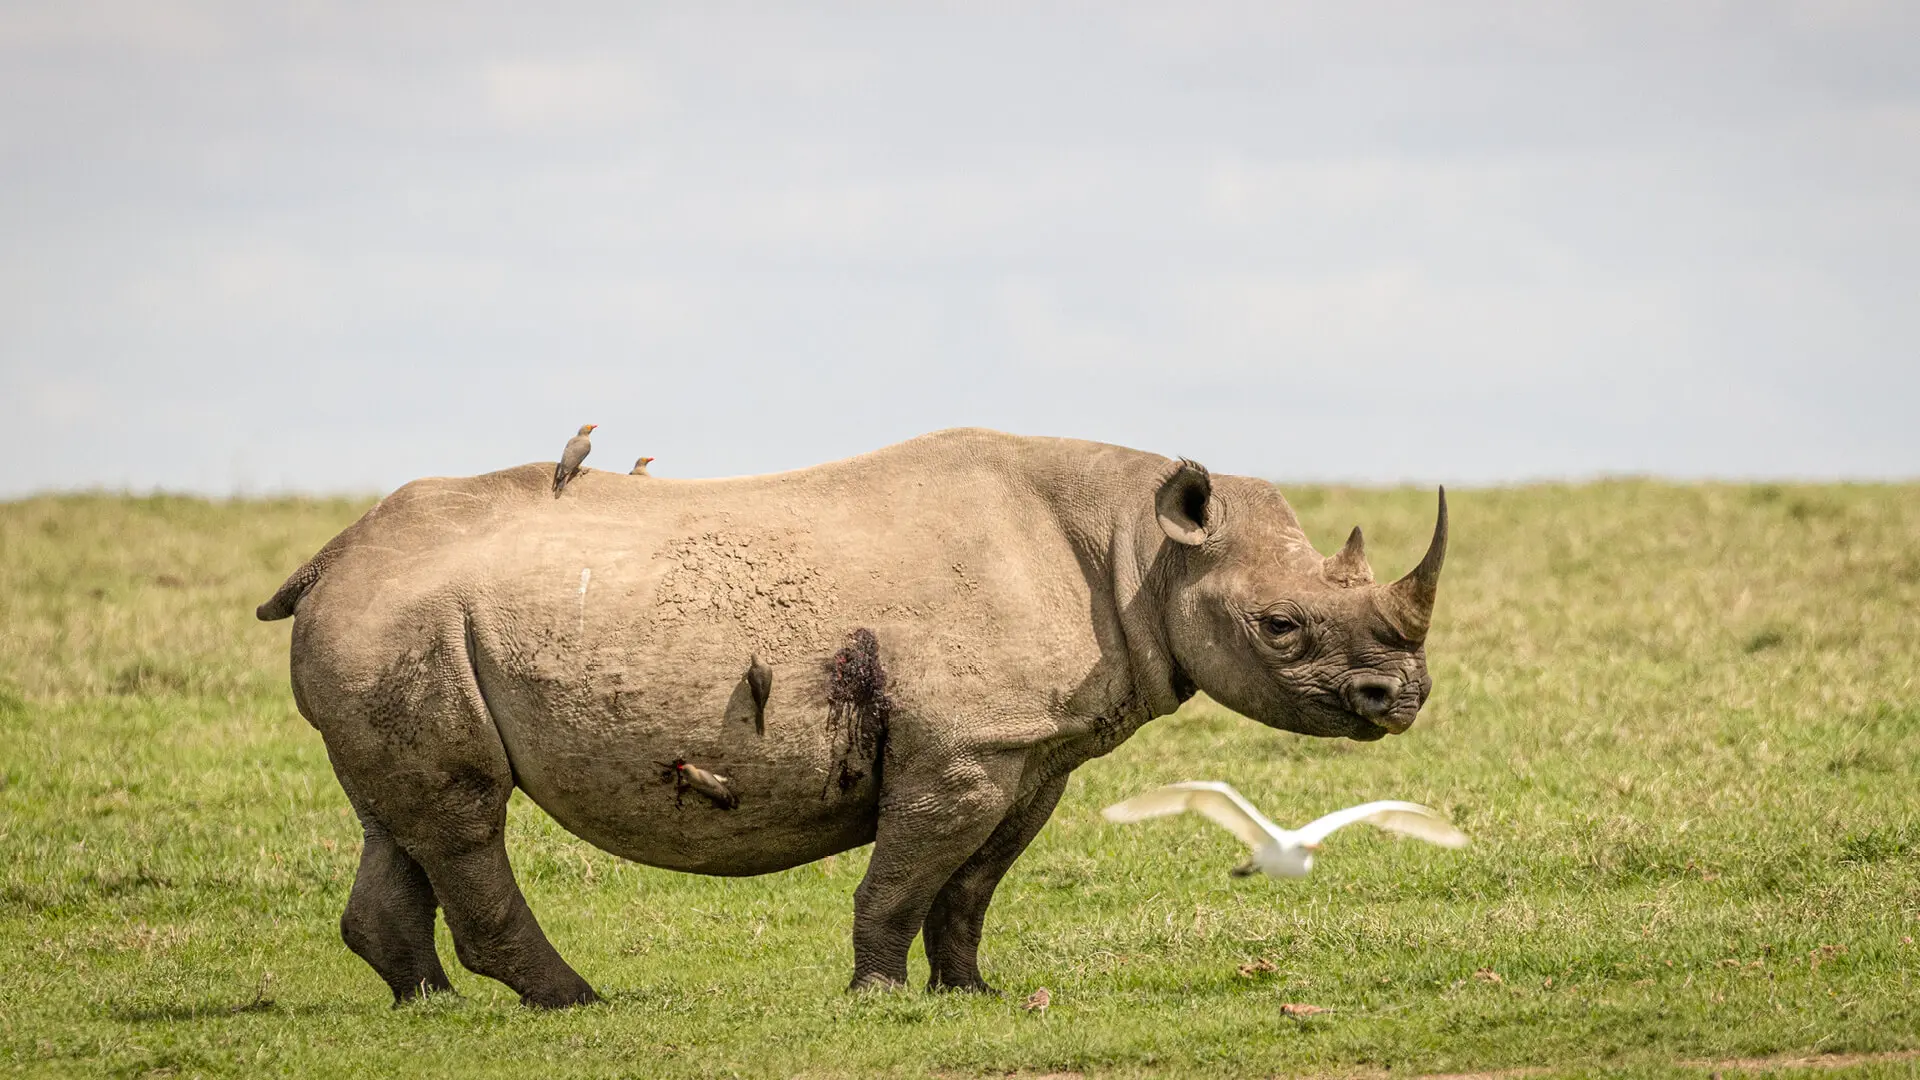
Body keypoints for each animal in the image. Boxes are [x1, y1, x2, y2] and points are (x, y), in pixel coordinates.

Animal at [257, 428, 1447, 1007]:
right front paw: (877, 996)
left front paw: (974, 994)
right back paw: (574, 1004)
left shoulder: (1030, 752)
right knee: (463, 814)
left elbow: (970, 885)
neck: (1140, 548)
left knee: (404, 812)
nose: (1401, 699)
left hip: (399, 621)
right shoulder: (965, 747)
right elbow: (906, 875)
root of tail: (332, 557)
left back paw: (428, 1006)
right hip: (403, 613)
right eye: (1280, 626)